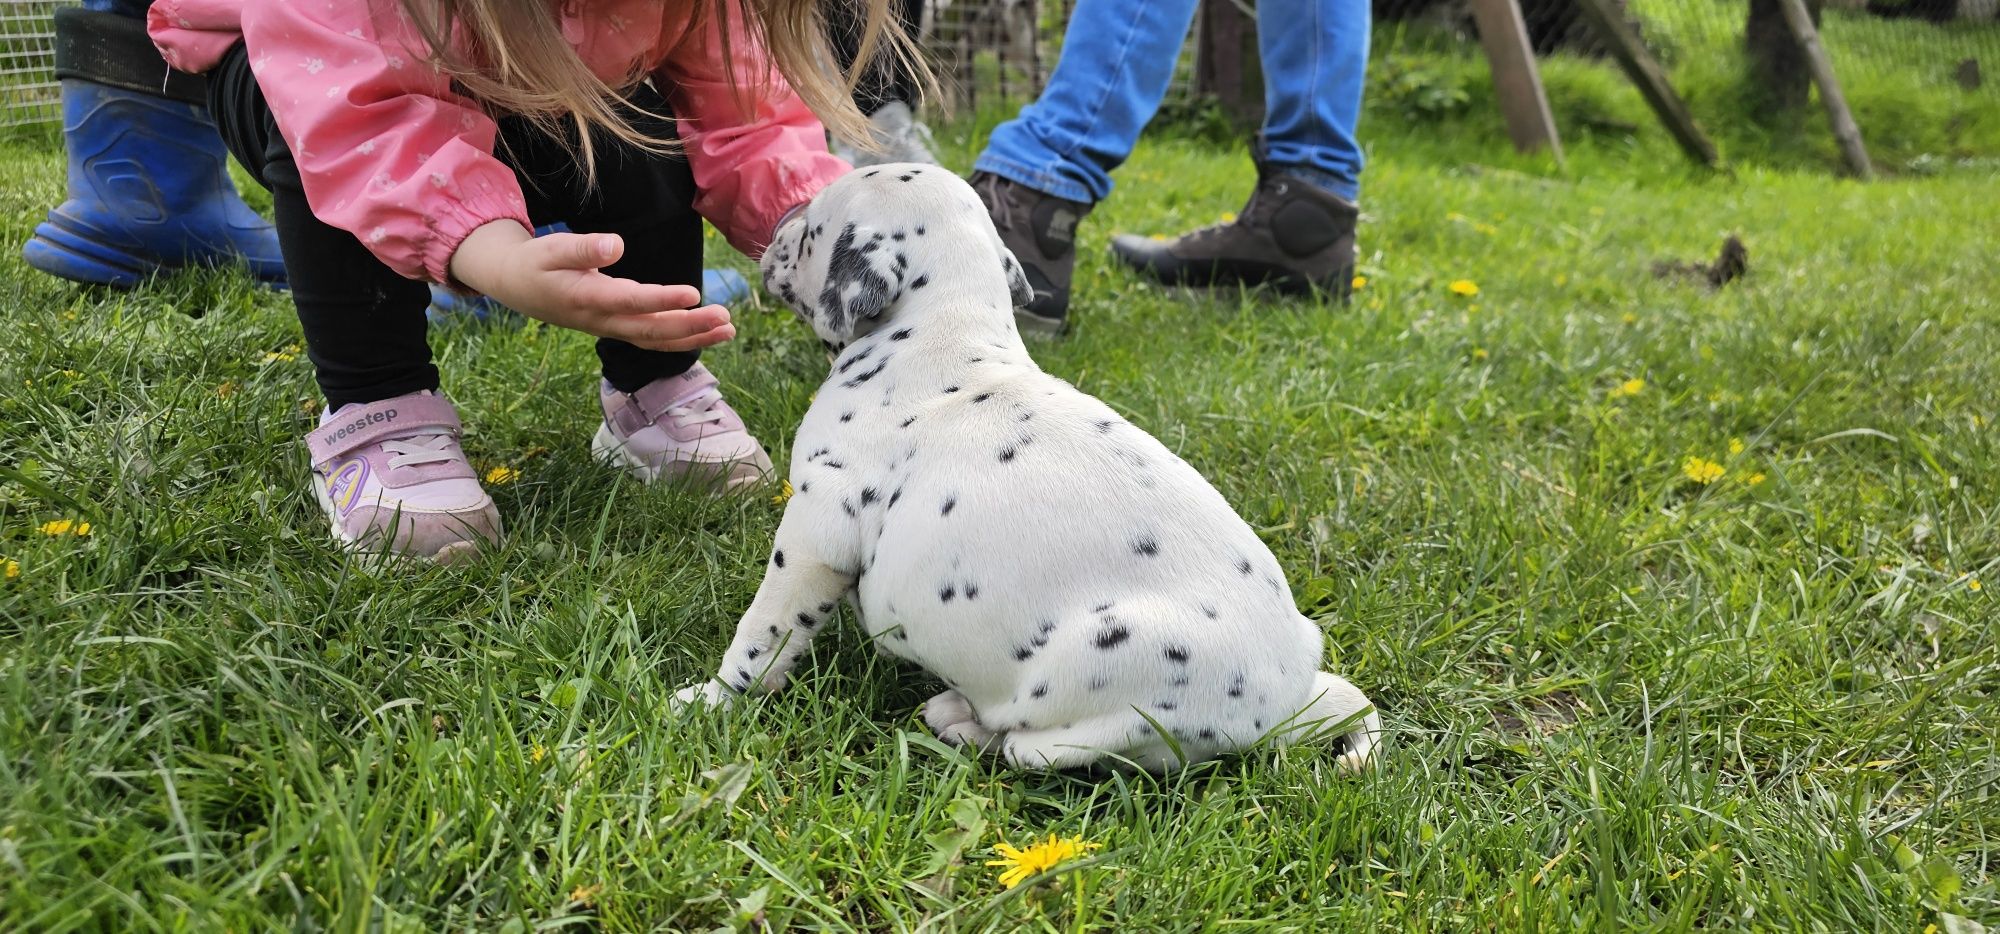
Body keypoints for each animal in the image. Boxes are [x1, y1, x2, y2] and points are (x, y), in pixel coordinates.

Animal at [680, 168, 1384, 776]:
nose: (778, 225)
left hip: (1099, 702)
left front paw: (710, 701)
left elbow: (762, 635)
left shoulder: (813, 537)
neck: (941, 332)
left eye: (810, 232)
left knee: (1028, 748)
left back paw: (960, 720)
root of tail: (1285, 707)